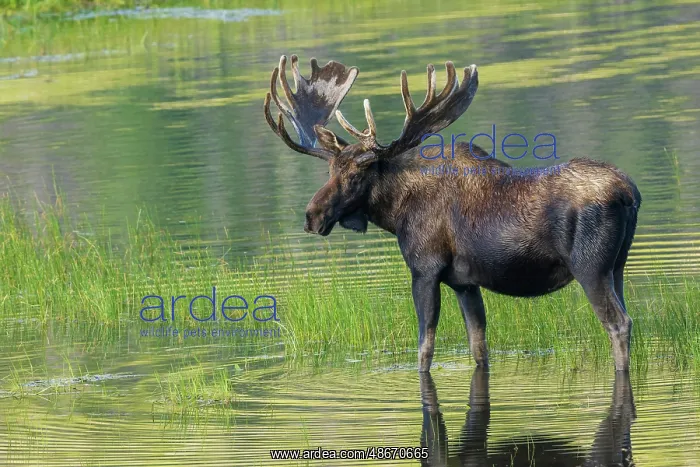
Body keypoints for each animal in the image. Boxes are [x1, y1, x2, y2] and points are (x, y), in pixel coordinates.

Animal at [262, 54, 642, 373]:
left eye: (357, 173)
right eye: (330, 171)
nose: (312, 216)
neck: (395, 212)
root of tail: (630, 194)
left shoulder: (425, 269)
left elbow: (424, 349)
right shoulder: (465, 283)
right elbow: (478, 347)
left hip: (589, 267)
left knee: (618, 323)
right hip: (617, 267)